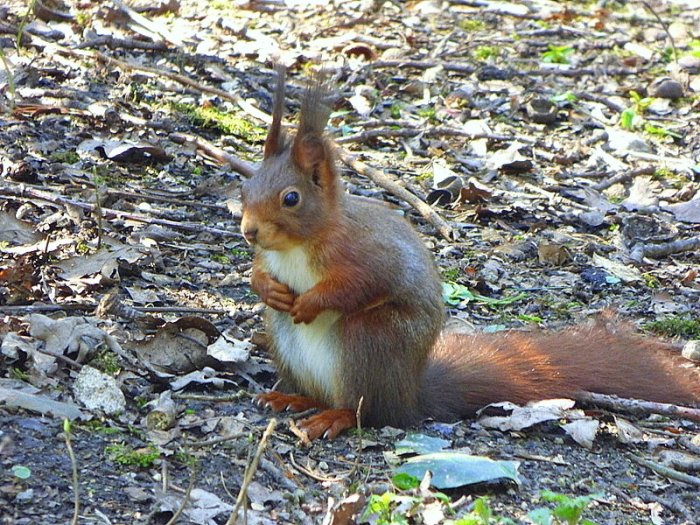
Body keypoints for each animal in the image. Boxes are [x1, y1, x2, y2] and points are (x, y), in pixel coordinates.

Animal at [239, 68, 699, 439]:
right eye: (245, 188)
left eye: (292, 198)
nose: (248, 231)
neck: (300, 243)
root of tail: (411, 395)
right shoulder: (272, 256)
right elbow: (259, 272)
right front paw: (268, 288)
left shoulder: (365, 252)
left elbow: (362, 284)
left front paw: (311, 301)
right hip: (287, 342)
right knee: (318, 387)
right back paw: (294, 400)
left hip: (370, 342)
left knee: (364, 410)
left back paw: (333, 417)